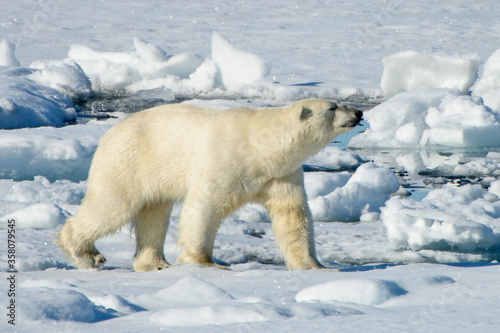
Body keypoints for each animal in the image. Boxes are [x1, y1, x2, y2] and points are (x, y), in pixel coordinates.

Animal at [58, 98, 362, 270]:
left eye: (340, 102)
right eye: (333, 107)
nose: (359, 112)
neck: (260, 147)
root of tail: (108, 133)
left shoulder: (280, 175)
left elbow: (292, 215)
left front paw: (314, 266)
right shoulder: (224, 160)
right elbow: (204, 206)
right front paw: (204, 262)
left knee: (154, 214)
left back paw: (155, 264)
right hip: (128, 160)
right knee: (114, 204)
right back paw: (87, 254)